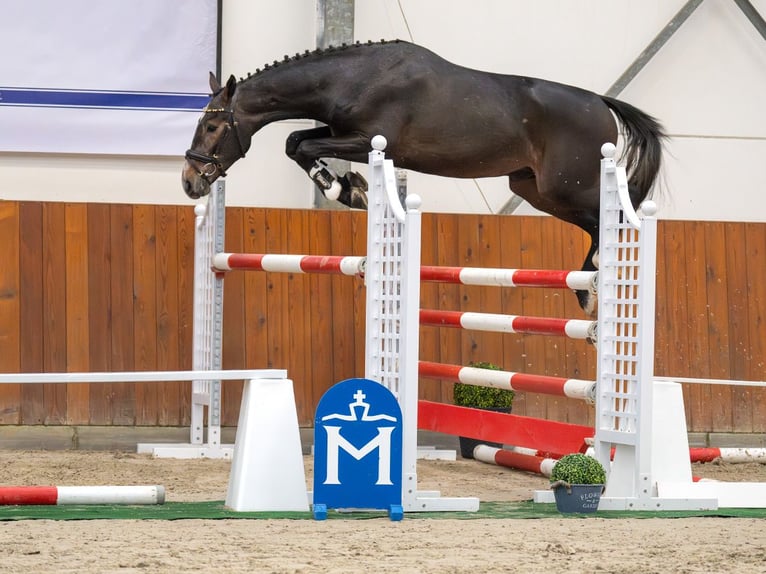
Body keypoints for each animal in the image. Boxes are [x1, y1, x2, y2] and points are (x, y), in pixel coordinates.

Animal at [182, 41, 664, 318]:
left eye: (212, 126)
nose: (190, 182)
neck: (351, 77)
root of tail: (601, 103)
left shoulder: (369, 140)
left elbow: (301, 145)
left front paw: (344, 189)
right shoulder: (341, 134)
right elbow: (297, 141)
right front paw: (350, 189)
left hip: (565, 185)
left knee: (615, 217)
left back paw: (597, 282)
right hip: (533, 188)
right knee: (597, 223)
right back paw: (588, 288)